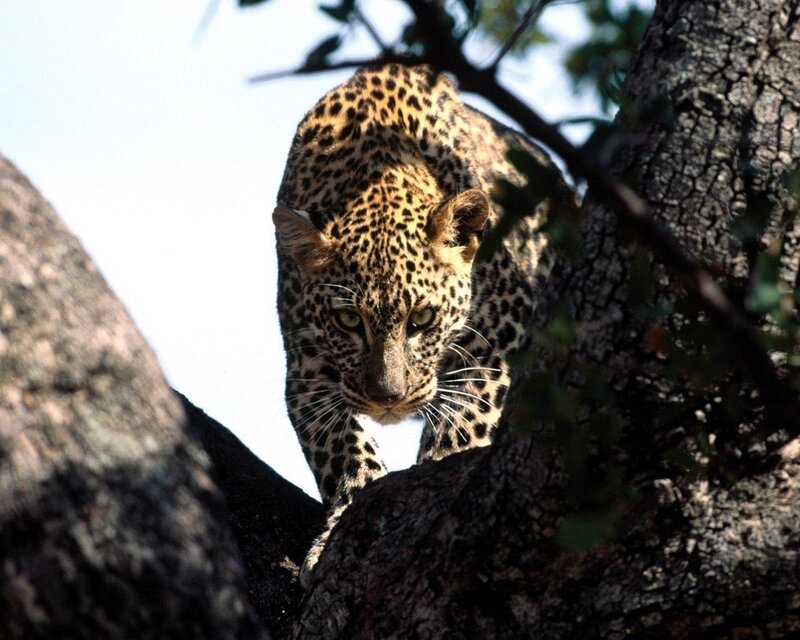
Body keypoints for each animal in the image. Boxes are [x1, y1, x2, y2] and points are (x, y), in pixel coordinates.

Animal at [273, 63, 575, 585]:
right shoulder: (307, 371)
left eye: (423, 318)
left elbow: (463, 426)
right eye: (347, 320)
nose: (388, 399)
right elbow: (343, 451)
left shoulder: (498, 340)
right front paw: (339, 529)